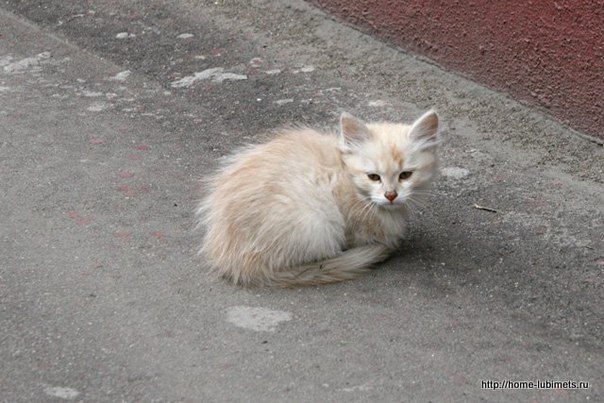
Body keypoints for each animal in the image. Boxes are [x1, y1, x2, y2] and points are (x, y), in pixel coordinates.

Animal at [198, 110, 438, 288]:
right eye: (373, 177)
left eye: (405, 175)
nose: (390, 195)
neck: (345, 172)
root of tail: (236, 263)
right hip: (316, 221)